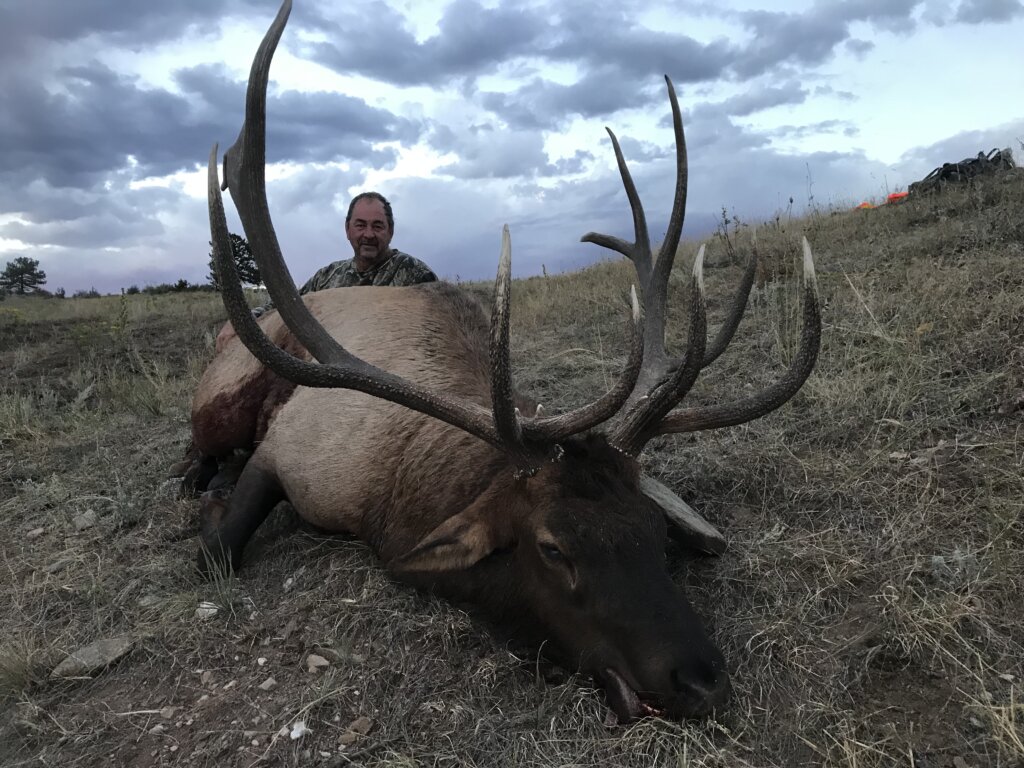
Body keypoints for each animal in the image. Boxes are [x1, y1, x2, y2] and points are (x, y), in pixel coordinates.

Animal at [193, 0, 821, 722]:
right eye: (553, 548)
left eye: (654, 530)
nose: (701, 677)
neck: (386, 500)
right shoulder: (289, 452)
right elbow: (216, 552)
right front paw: (209, 515)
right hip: (222, 398)